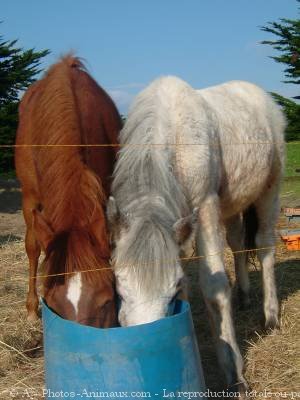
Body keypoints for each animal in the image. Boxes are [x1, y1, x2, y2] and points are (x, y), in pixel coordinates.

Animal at [107, 76, 284, 392]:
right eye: (119, 286)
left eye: (172, 290)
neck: (175, 136)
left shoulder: (205, 207)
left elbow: (214, 288)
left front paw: (234, 372)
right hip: (233, 204)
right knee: (237, 242)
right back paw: (244, 296)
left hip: (269, 190)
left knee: (264, 246)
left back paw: (271, 316)